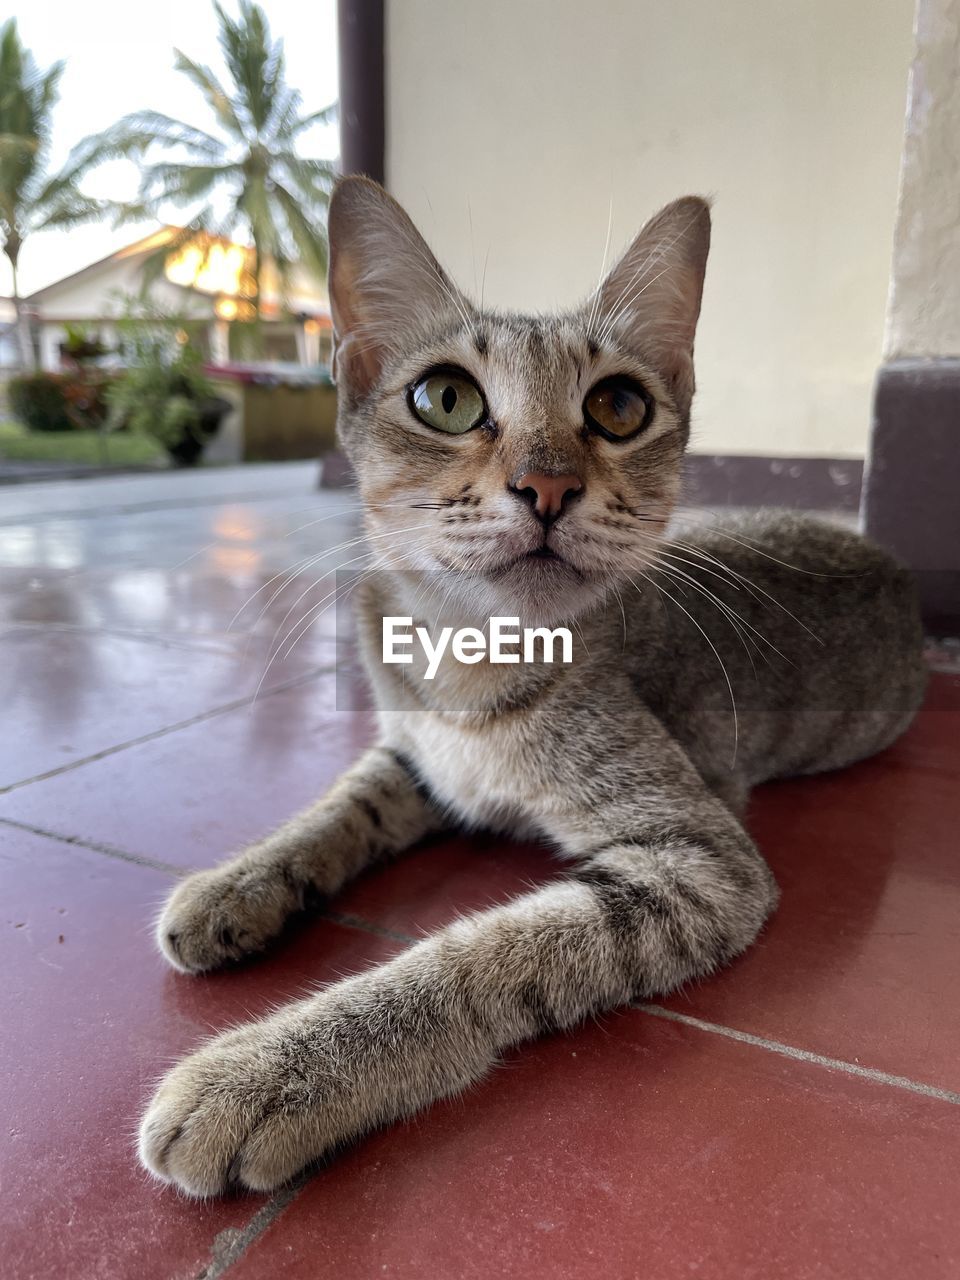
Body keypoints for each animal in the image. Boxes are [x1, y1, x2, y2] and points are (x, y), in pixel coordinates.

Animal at [138, 175, 926, 1192]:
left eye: (620, 406)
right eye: (444, 398)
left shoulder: (702, 863)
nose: (546, 486)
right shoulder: (415, 757)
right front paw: (239, 885)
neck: (467, 659)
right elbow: (339, 808)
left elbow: (480, 954)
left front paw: (271, 1069)